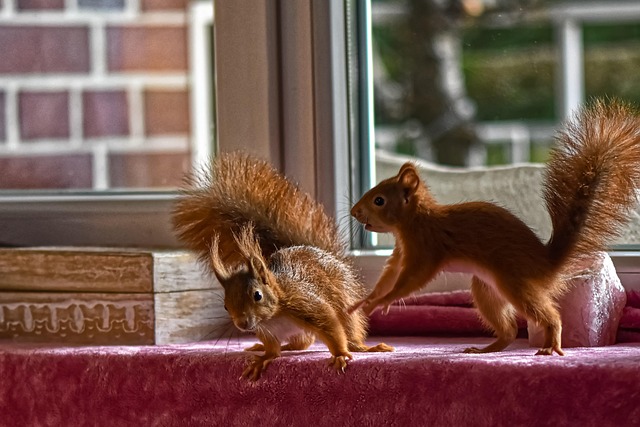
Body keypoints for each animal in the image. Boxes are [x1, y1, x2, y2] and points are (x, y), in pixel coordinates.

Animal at [171, 152, 393, 381]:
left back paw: (363, 347)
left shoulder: (308, 306)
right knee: (301, 344)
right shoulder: (268, 332)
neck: (273, 316)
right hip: (299, 334)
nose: (242, 324)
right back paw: (274, 348)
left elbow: (332, 327)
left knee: (347, 331)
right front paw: (264, 358)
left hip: (344, 302)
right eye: (225, 305)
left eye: (257, 295)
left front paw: (340, 355)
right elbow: (272, 349)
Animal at [348, 98, 640, 356]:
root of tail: (547, 265)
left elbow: (411, 280)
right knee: (508, 330)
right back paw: (486, 348)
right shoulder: (402, 252)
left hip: (515, 282)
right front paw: (367, 300)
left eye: (379, 200)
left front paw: (384, 301)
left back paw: (551, 343)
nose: (353, 212)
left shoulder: (426, 248)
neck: (415, 221)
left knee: (548, 315)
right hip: (487, 289)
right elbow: (389, 273)